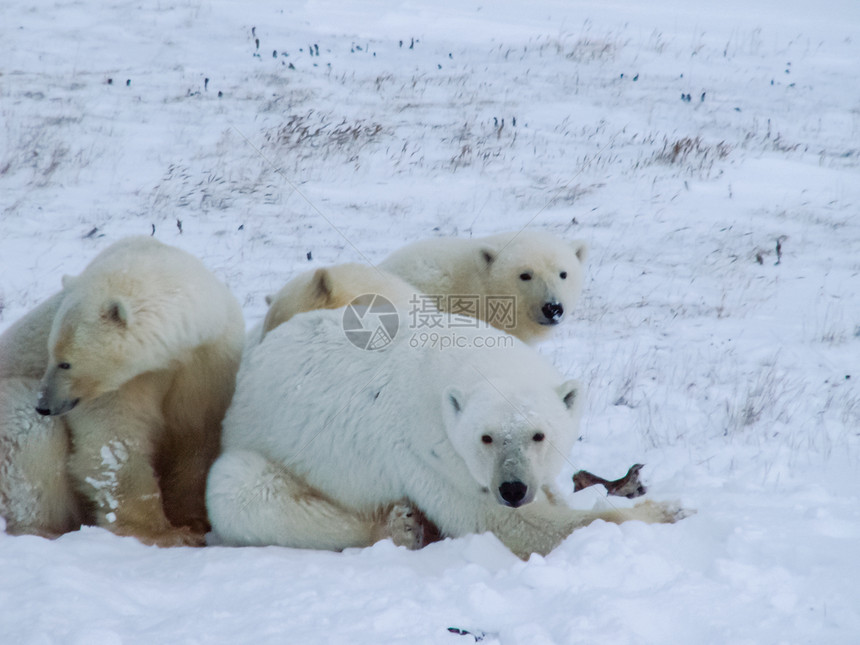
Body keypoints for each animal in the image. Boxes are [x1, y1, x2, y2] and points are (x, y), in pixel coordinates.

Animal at [0, 236, 244, 544]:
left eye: (65, 363)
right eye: (49, 353)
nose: (44, 404)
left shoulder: (207, 362)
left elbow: (197, 435)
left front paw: (192, 521)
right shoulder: (124, 383)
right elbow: (114, 441)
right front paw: (162, 533)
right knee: (29, 434)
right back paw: (43, 530)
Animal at [207, 308, 680, 560]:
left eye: (538, 435)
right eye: (486, 438)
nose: (512, 488)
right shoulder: (432, 452)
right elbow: (507, 525)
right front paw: (665, 511)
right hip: (259, 450)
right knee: (241, 491)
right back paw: (399, 527)